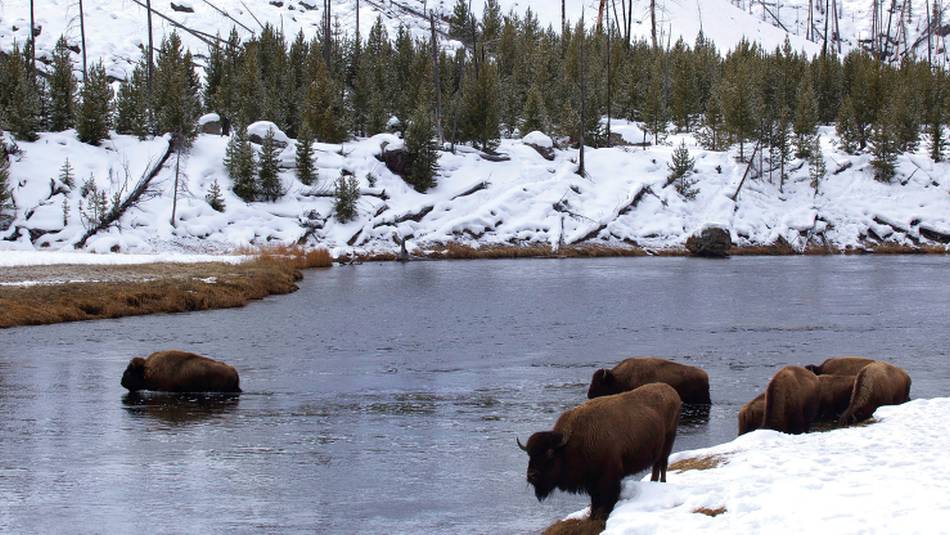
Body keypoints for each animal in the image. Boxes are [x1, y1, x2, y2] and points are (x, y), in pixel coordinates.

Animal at [519, 383, 681, 520]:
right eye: (530, 454)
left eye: (550, 453)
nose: (531, 475)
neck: (572, 442)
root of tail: (672, 391)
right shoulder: (592, 480)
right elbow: (595, 499)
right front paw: (593, 516)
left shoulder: (608, 476)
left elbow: (606, 497)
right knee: (657, 466)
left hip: (667, 444)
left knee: (662, 465)